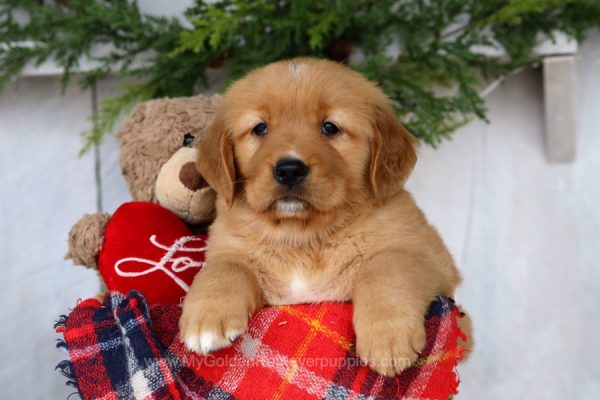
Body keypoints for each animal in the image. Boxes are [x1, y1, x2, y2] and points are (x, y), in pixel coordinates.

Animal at [180, 57, 462, 376]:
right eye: (260, 128)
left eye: (330, 127)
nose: (289, 169)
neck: (301, 234)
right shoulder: (229, 248)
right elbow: (224, 268)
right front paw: (206, 319)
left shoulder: (428, 259)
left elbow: (385, 268)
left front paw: (388, 337)